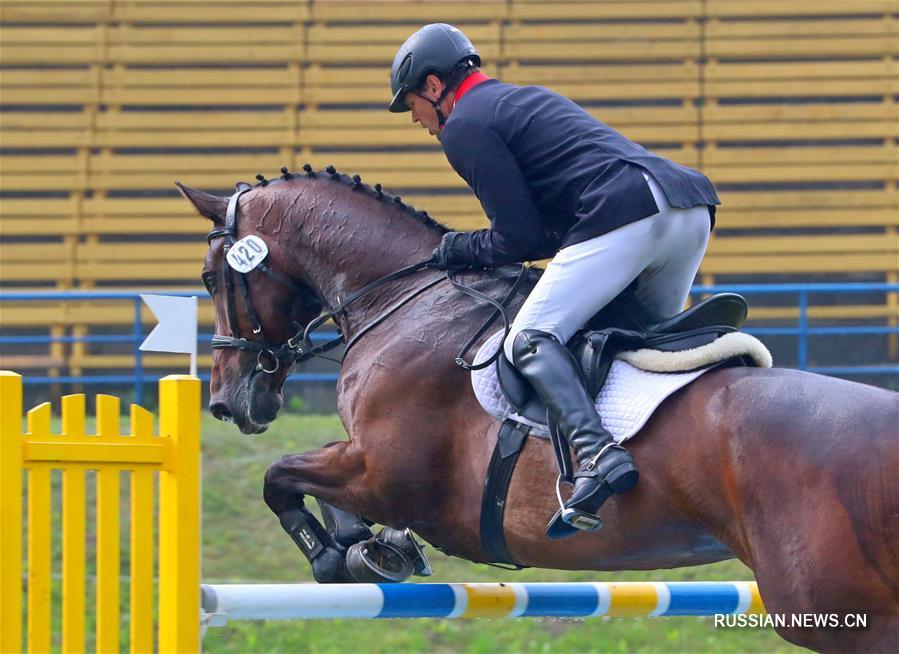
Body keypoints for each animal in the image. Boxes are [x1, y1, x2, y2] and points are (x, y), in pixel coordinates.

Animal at [178, 170, 899, 654]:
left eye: (213, 278)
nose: (227, 401)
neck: (406, 298)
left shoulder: (385, 473)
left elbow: (279, 476)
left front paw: (341, 558)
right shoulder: (366, 468)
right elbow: (308, 484)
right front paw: (372, 546)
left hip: (839, 615)